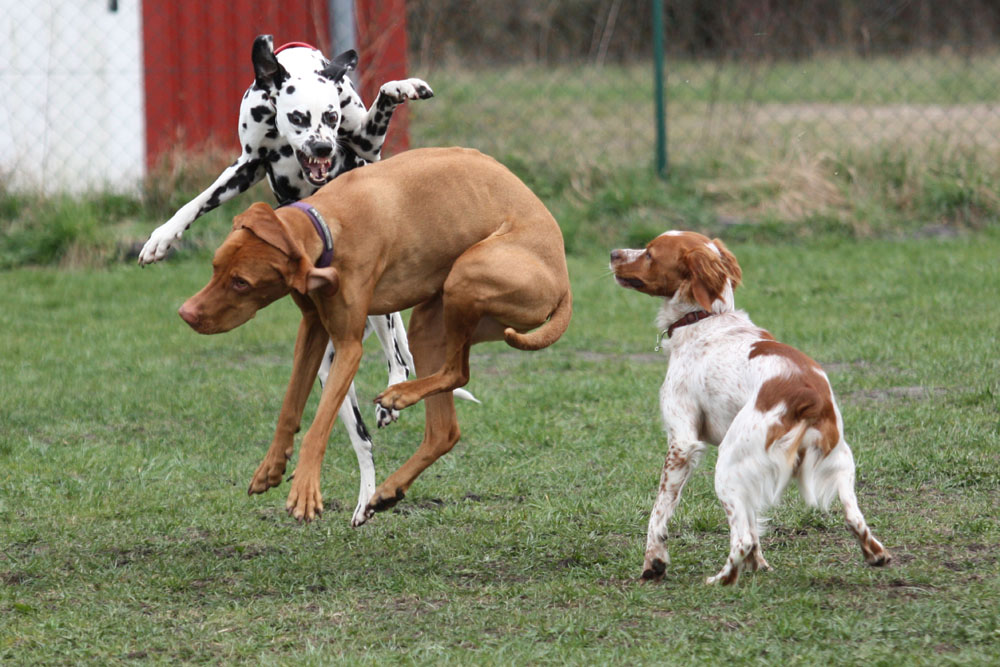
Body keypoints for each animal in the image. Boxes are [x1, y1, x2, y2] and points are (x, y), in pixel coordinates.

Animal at [141, 35, 460, 528]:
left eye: (330, 116)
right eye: (297, 117)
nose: (323, 149)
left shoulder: (366, 143)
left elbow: (383, 98)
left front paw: (404, 86)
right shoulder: (246, 165)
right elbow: (198, 200)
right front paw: (162, 237)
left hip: (378, 314)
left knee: (397, 353)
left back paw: (390, 394)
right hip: (330, 374)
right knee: (361, 440)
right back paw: (362, 497)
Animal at [178, 149, 572, 524]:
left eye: (241, 283)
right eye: (215, 266)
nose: (186, 314)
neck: (325, 227)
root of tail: (564, 284)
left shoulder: (348, 348)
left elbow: (319, 424)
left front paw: (304, 490)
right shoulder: (313, 330)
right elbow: (290, 405)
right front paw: (272, 466)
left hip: (467, 274)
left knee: (458, 372)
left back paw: (400, 396)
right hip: (429, 324)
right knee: (444, 429)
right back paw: (386, 491)